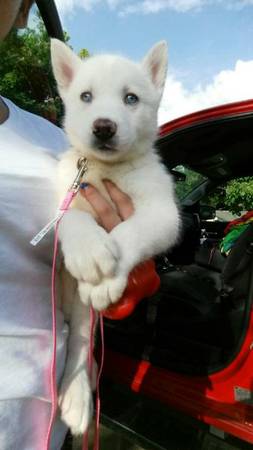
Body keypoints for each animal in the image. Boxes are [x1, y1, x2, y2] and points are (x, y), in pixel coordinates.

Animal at [50, 39, 180, 436]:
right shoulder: (65, 197)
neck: (108, 170)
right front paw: (90, 250)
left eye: (131, 98)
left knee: (83, 335)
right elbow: (73, 217)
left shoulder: (163, 213)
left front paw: (108, 276)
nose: (104, 127)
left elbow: (128, 230)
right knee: (79, 335)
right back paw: (77, 395)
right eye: (86, 96)